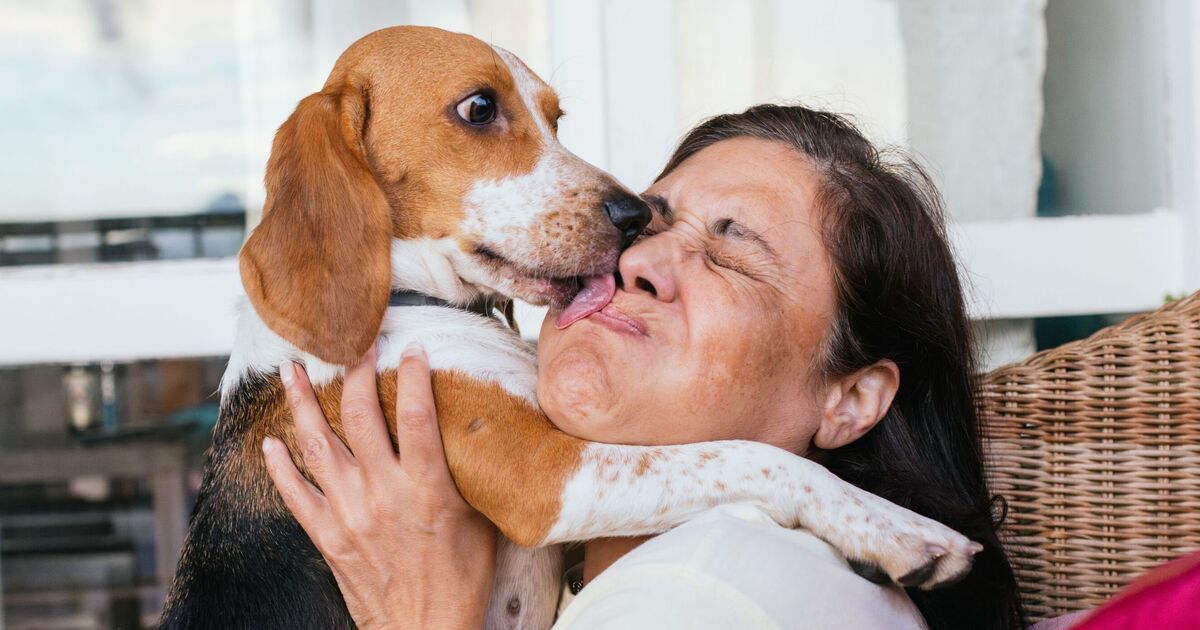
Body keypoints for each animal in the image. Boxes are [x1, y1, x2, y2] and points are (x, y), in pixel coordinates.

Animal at [159, 25, 979, 628]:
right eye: (479, 108)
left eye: (556, 118)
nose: (634, 213)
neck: (413, 303)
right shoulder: (546, 478)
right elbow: (753, 456)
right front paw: (900, 530)